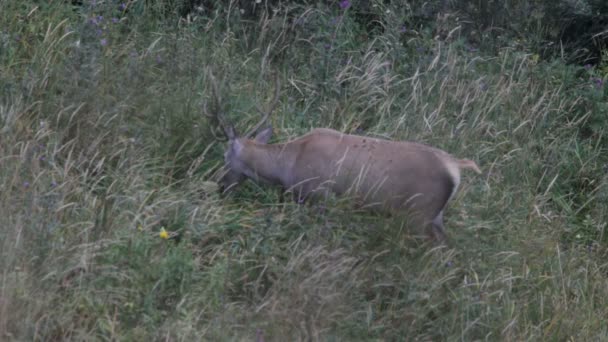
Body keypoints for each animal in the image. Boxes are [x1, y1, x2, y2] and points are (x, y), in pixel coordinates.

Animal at [204, 71, 480, 243]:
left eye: (225, 156)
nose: (219, 185)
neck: (287, 166)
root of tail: (456, 166)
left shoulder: (321, 194)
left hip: (419, 215)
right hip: (434, 217)